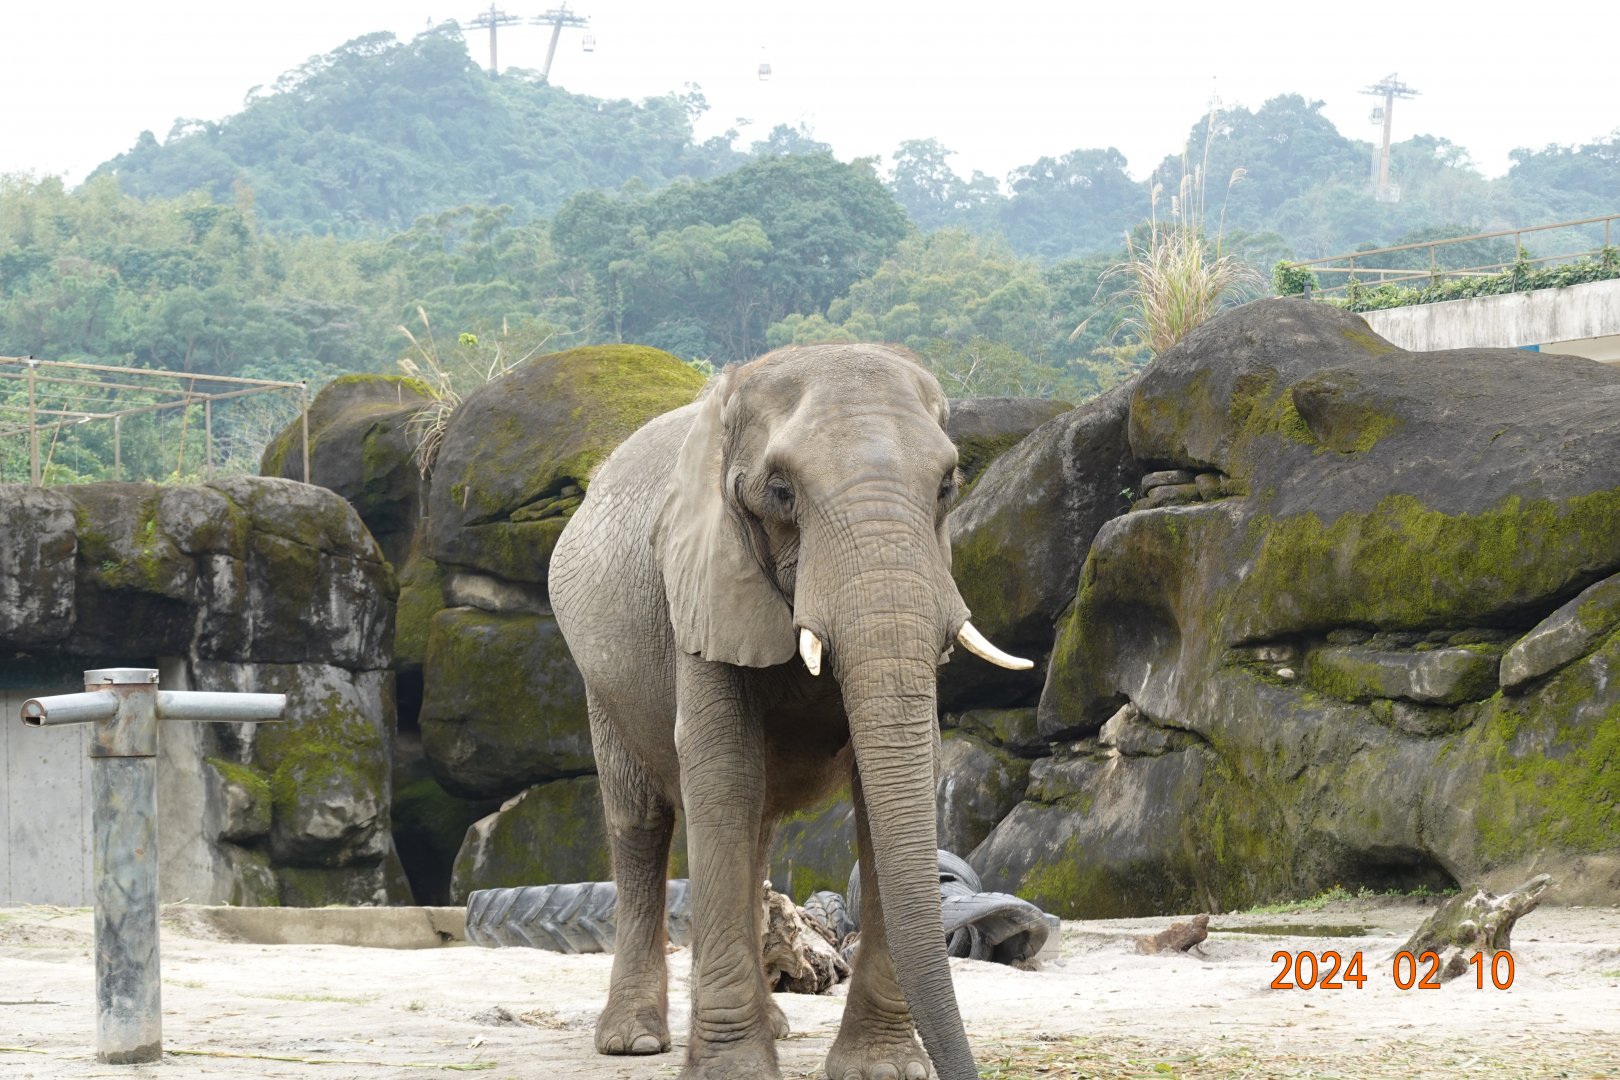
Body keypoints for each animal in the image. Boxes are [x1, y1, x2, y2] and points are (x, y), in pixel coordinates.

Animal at [550, 344, 1030, 1080]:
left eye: (949, 485)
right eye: (780, 492)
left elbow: (897, 775)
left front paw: (882, 1070)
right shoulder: (702, 580)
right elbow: (719, 769)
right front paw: (734, 1072)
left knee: (757, 828)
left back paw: (772, 1020)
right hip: (601, 681)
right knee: (642, 823)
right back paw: (633, 1040)